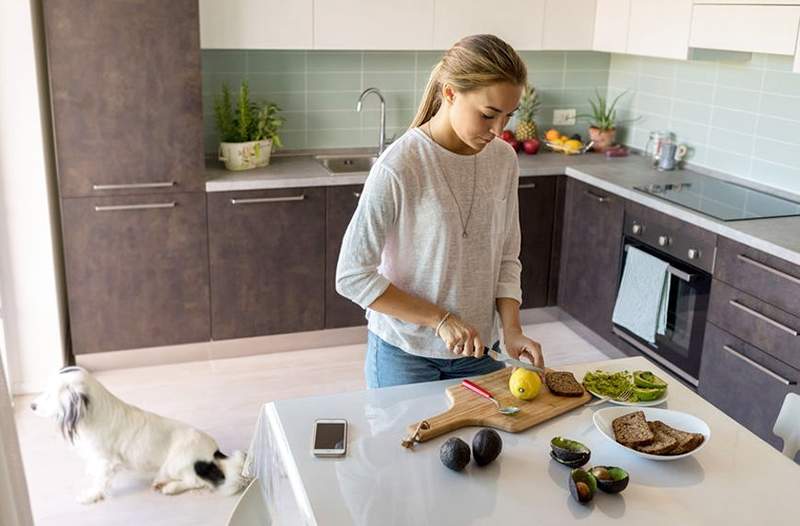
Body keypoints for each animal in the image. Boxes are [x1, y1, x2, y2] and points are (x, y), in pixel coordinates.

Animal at [30, 368, 250, 508]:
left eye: (49, 396)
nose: (31, 406)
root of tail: (214, 452)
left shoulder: (107, 461)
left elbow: (100, 482)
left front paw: (90, 496)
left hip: (176, 463)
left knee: (198, 482)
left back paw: (169, 487)